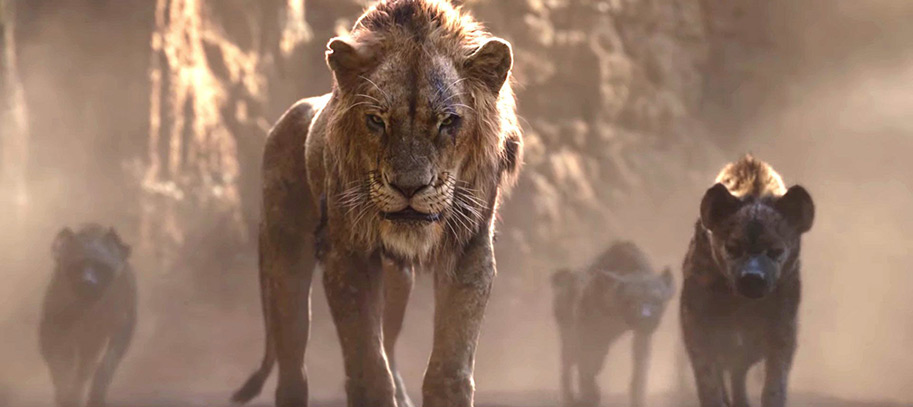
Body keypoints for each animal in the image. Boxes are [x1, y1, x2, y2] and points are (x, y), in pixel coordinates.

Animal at [40, 224, 136, 407]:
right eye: (78, 265)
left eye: (101, 266)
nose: (88, 282)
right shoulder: (53, 324)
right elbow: (60, 367)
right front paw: (66, 395)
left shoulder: (122, 324)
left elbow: (106, 364)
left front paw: (96, 395)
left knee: (85, 369)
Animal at [231, 1, 522, 406]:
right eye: (376, 121)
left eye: (448, 121)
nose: (409, 187)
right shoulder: (347, 254)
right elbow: (368, 367)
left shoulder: (470, 249)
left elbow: (449, 367)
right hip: (285, 260)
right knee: (292, 370)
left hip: (397, 281)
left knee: (390, 344)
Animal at [552, 241, 674, 407]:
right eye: (630, 301)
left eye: (657, 300)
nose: (646, 318)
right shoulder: (584, 331)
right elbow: (585, 365)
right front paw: (588, 397)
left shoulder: (641, 337)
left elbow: (639, 372)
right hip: (568, 333)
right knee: (568, 365)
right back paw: (570, 398)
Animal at [680, 155, 814, 407]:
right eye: (732, 248)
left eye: (776, 250)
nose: (753, 277)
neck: (742, 306)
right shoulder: (698, 321)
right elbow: (708, 378)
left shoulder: (782, 324)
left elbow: (775, 381)